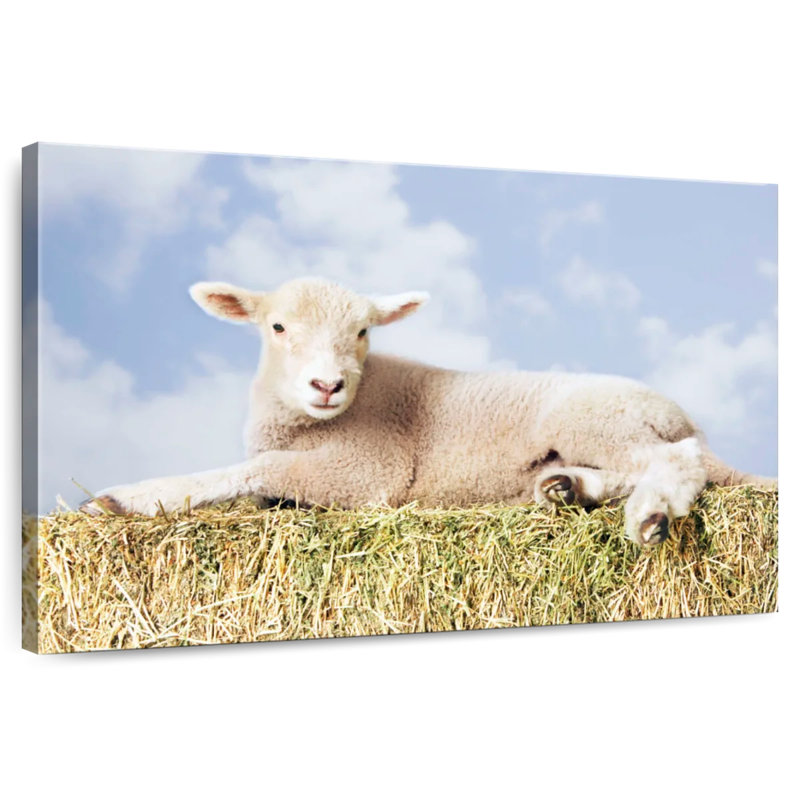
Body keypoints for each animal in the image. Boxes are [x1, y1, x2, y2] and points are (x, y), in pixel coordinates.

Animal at [80, 277, 776, 545]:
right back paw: (566, 487)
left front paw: (133, 496)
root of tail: (686, 416)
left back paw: (651, 515)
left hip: (593, 417)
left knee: (677, 462)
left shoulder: (369, 469)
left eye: (364, 332)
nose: (328, 384)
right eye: (277, 327)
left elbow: (248, 470)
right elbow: (254, 481)